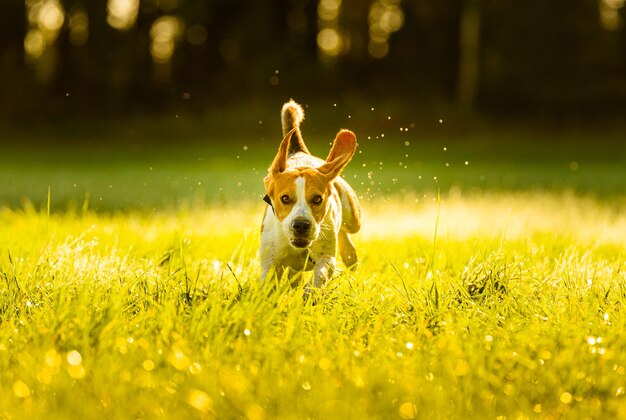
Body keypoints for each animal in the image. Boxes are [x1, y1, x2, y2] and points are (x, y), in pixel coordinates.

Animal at [258, 101, 360, 292]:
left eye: (317, 199)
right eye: (285, 198)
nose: (301, 225)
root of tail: (299, 151)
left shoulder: (326, 257)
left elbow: (321, 273)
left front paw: (310, 292)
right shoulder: (271, 262)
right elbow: (268, 283)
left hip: (353, 220)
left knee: (345, 233)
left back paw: (350, 255)